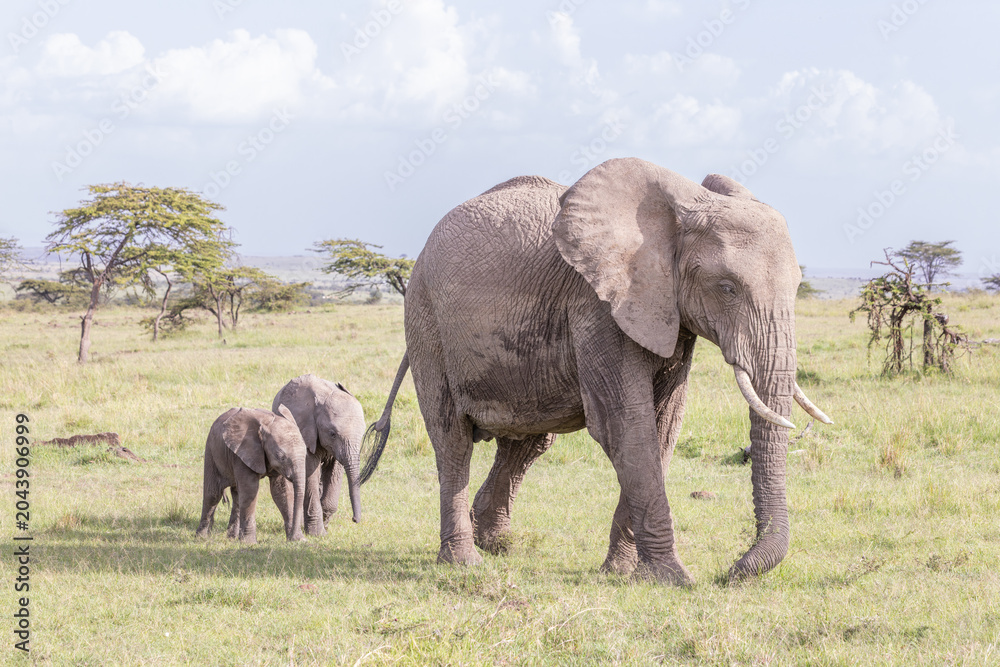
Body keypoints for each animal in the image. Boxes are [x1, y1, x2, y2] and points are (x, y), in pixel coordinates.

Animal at [195, 405, 307, 544]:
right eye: (280, 457)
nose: (294, 537)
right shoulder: (244, 451)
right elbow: (250, 490)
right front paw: (249, 543)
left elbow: (282, 492)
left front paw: (298, 540)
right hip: (211, 449)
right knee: (213, 494)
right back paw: (202, 537)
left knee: (237, 495)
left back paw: (232, 538)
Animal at [270, 374, 364, 534]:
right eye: (332, 434)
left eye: (363, 434)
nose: (354, 520)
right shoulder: (306, 432)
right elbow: (310, 473)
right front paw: (318, 533)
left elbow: (335, 471)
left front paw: (325, 521)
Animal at [362, 157, 831, 584]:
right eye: (727, 287)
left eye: (797, 286)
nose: (732, 570)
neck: (683, 207)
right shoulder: (596, 304)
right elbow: (626, 426)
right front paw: (673, 579)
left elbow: (662, 428)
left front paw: (623, 572)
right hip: (426, 322)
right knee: (453, 439)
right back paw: (465, 562)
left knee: (528, 443)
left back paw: (495, 543)